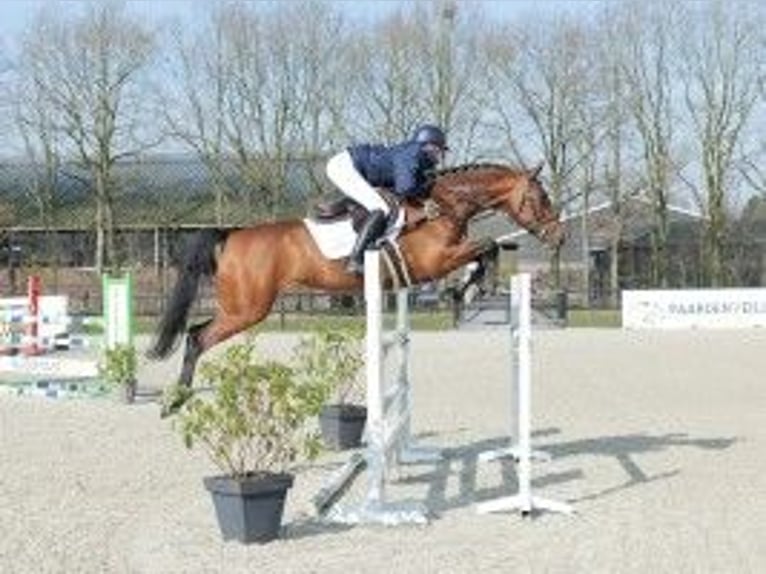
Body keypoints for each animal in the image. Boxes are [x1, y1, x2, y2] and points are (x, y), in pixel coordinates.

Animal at [148, 162, 564, 414]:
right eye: (540, 198)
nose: (558, 236)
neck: (443, 206)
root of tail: (231, 235)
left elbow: (484, 249)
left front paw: (473, 286)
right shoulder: (435, 260)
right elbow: (487, 246)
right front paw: (476, 287)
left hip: (243, 307)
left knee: (195, 333)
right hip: (247, 308)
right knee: (197, 337)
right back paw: (175, 401)